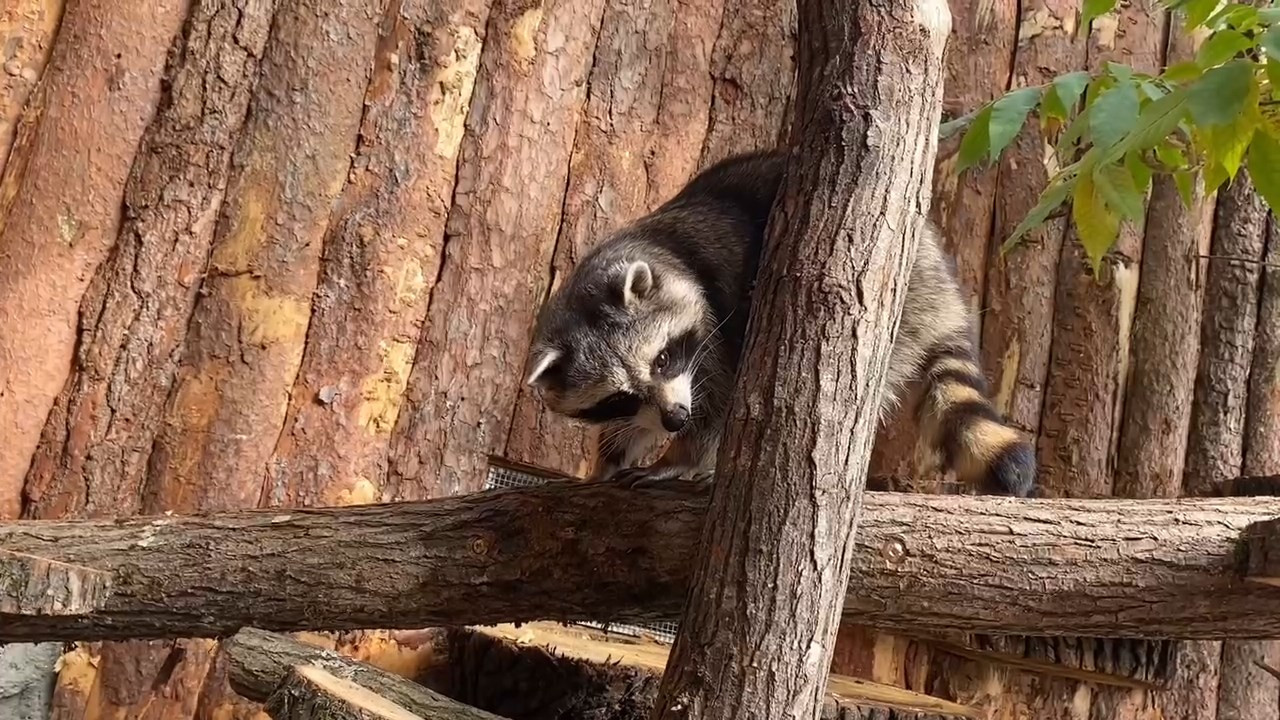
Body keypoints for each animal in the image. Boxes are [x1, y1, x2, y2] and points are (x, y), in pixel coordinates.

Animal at [524, 146, 1034, 491]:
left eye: (663, 359)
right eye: (619, 398)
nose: (673, 419)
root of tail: (941, 285)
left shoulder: (714, 328)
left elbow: (717, 406)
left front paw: (683, 456)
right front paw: (612, 455)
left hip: (900, 306)